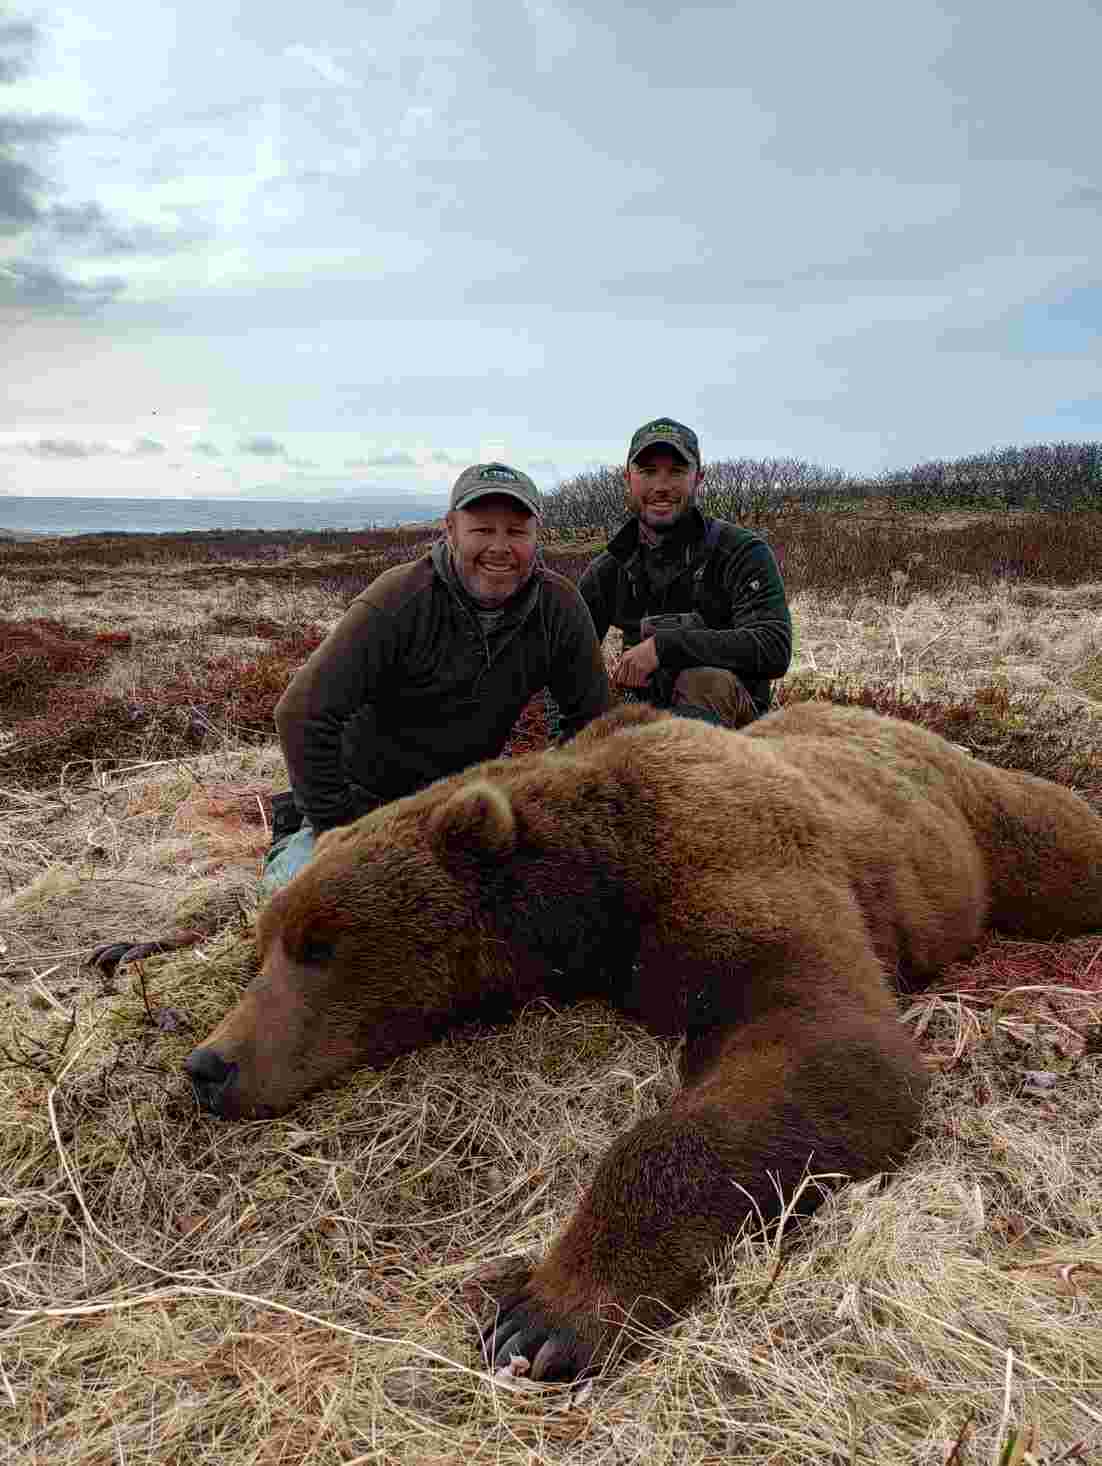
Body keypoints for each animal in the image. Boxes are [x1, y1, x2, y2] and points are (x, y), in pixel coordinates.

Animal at [184, 702, 1102, 1381]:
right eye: (264, 945)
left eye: (321, 945)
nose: (209, 1065)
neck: (598, 884)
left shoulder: (735, 863)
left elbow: (828, 1044)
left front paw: (543, 1317)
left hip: (979, 822)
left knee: (1059, 842)